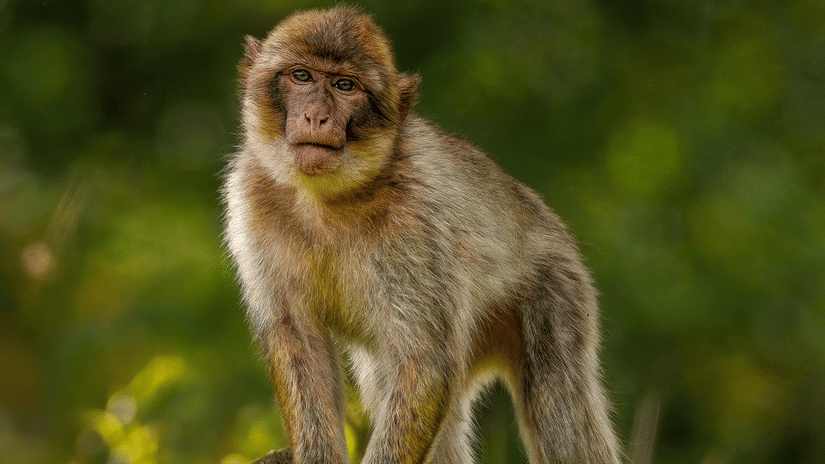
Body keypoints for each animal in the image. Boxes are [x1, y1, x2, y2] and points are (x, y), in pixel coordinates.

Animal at [223, 6, 621, 464]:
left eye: (345, 86)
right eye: (301, 76)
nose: (316, 117)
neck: (325, 200)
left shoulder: (415, 223)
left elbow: (425, 362)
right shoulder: (249, 201)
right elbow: (297, 342)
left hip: (556, 290)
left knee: (558, 405)